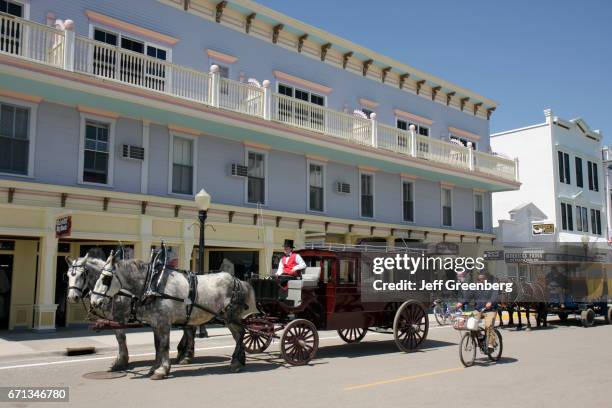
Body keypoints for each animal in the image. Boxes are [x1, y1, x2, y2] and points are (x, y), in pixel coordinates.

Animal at [65, 252, 195, 370]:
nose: (72, 297)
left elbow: (121, 338)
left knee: (189, 331)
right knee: (188, 329)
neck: (119, 293)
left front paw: (121, 361)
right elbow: (119, 338)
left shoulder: (119, 317)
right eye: (68, 275)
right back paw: (183, 354)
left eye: (82, 274)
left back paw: (186, 356)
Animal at [89, 253, 255, 378]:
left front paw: (162, 370)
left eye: (106, 279)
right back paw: (239, 360)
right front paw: (154, 368)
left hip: (231, 316)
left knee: (240, 334)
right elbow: (157, 346)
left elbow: (163, 345)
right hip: (228, 317)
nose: (94, 302)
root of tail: (238, 280)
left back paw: (236, 362)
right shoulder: (155, 323)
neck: (153, 284)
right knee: (238, 335)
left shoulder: (163, 323)